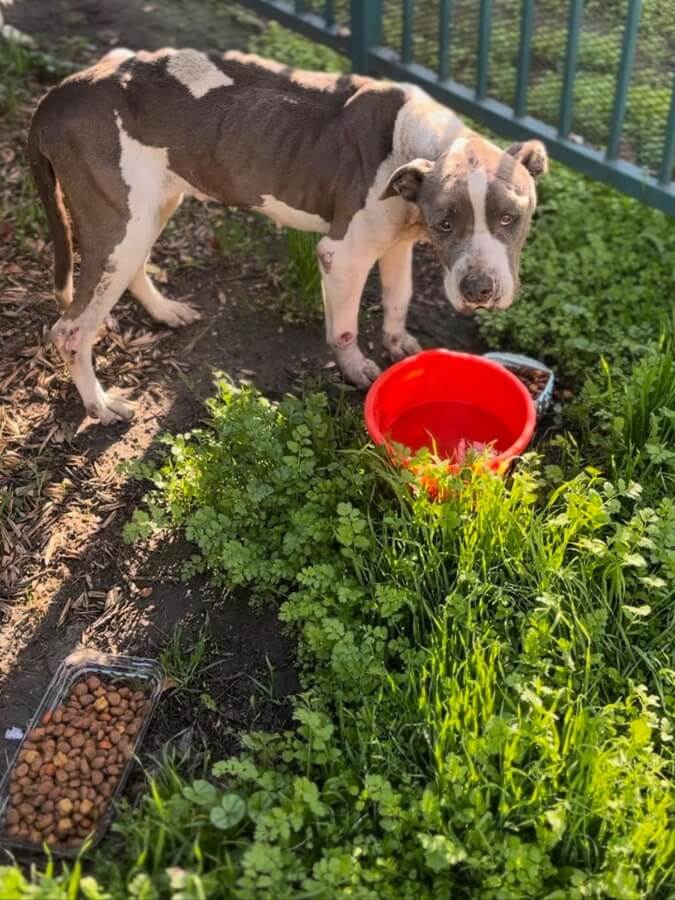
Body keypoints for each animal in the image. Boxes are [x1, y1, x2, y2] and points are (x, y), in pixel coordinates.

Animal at [27, 48, 548, 426]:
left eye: (510, 218)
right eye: (446, 222)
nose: (479, 290)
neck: (423, 145)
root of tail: (60, 93)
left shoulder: (396, 243)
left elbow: (399, 298)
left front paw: (398, 343)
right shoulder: (343, 255)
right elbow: (344, 327)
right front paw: (356, 369)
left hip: (147, 211)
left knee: (129, 268)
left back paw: (164, 311)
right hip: (119, 220)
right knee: (70, 330)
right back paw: (100, 406)